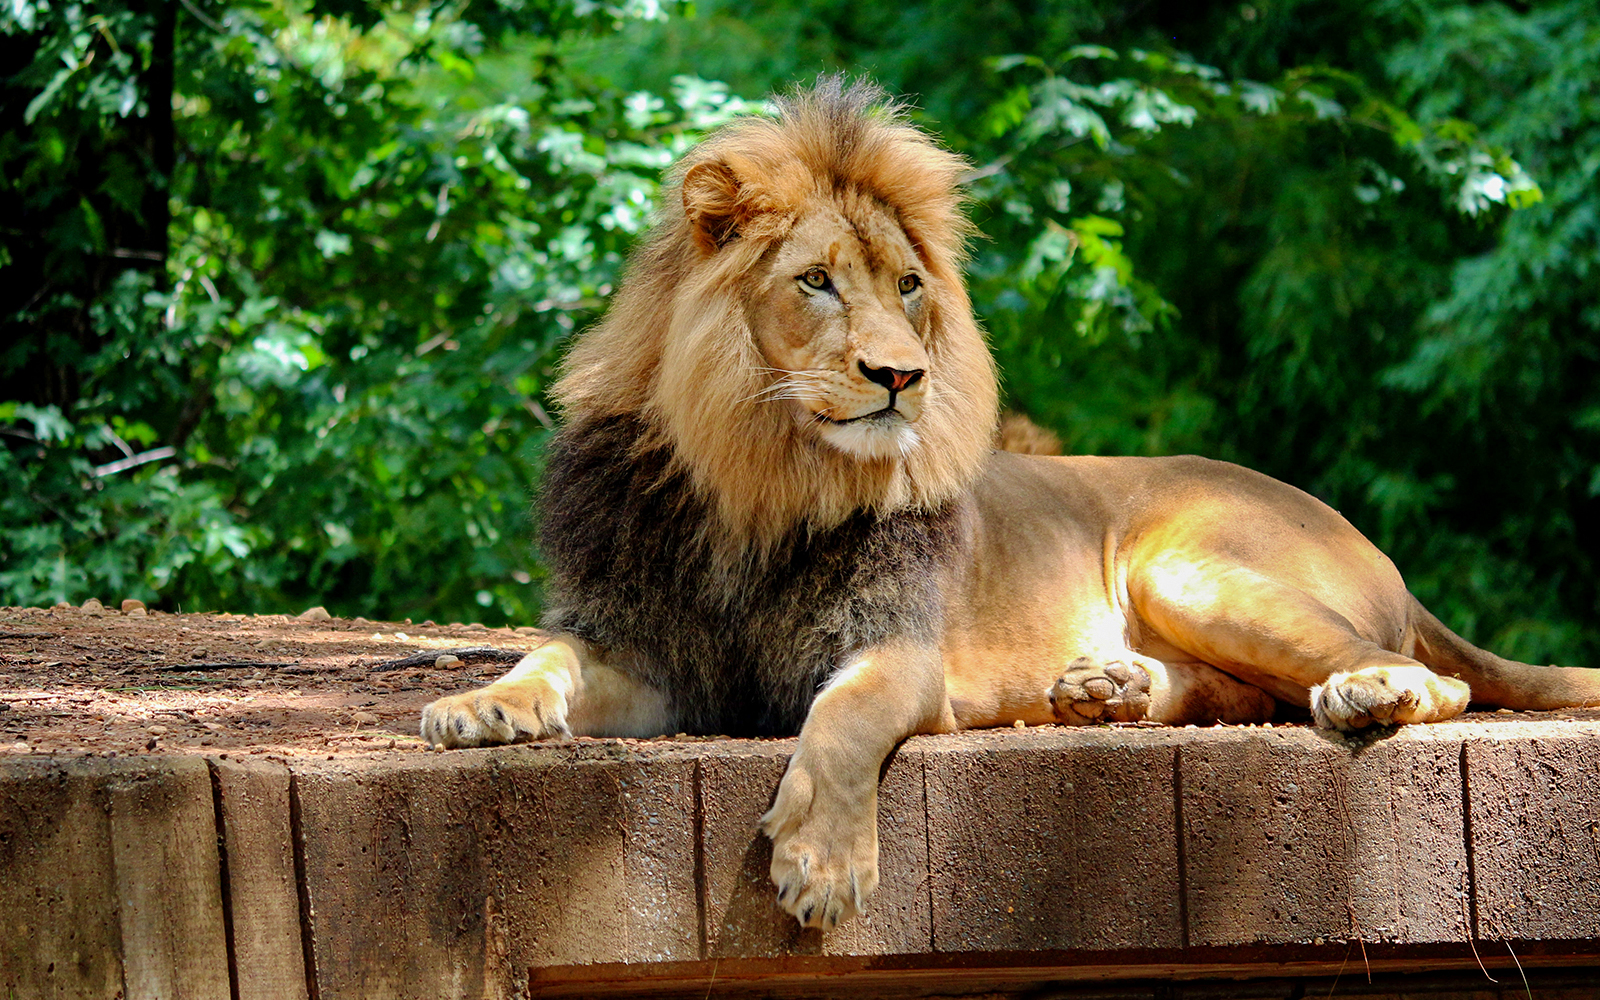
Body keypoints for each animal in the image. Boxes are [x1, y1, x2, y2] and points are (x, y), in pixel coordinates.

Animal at [421, 79, 1600, 931]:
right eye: (815, 282)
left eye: (907, 286)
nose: (900, 376)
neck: (761, 483)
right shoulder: (647, 652)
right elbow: (548, 656)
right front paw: (482, 706)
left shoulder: (899, 650)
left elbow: (840, 724)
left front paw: (823, 863)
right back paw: (1107, 690)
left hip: (1188, 566)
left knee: (1431, 680)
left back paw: (1356, 694)